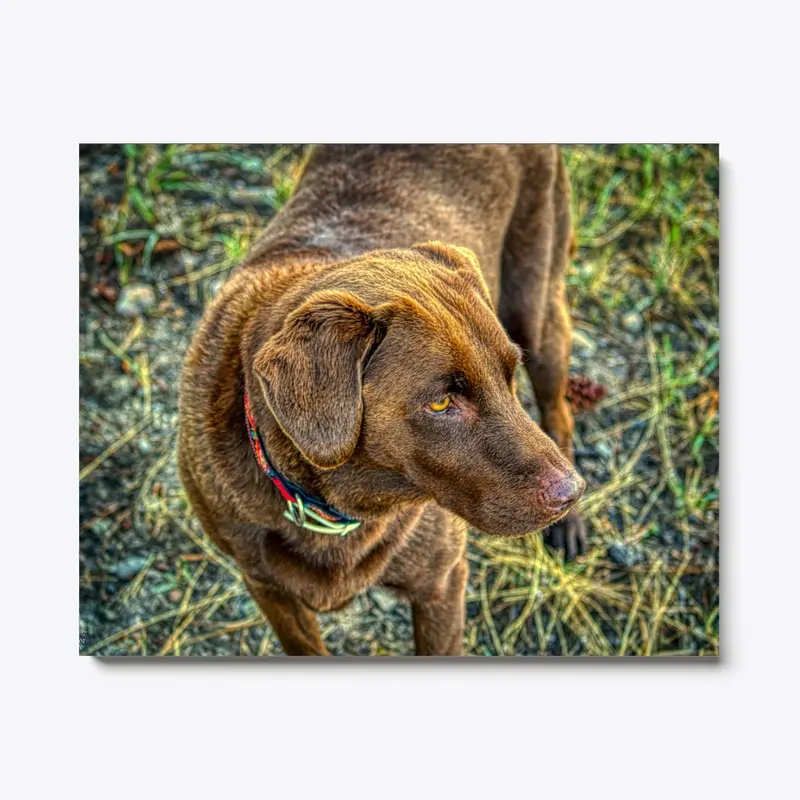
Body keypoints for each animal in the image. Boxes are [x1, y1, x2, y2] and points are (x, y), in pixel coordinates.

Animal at [178, 145, 584, 656]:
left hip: (537, 303)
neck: (338, 509)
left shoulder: (440, 584)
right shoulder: (267, 588)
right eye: (440, 404)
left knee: (559, 409)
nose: (571, 492)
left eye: (508, 376)